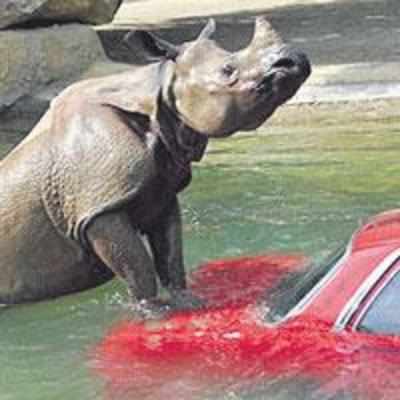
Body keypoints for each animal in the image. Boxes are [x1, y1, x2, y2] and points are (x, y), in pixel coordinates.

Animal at [0, 18, 310, 306]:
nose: (297, 60)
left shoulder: (161, 190)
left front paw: (187, 303)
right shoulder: (99, 208)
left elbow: (171, 258)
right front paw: (155, 313)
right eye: (227, 70)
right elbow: (139, 271)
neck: (155, 96)